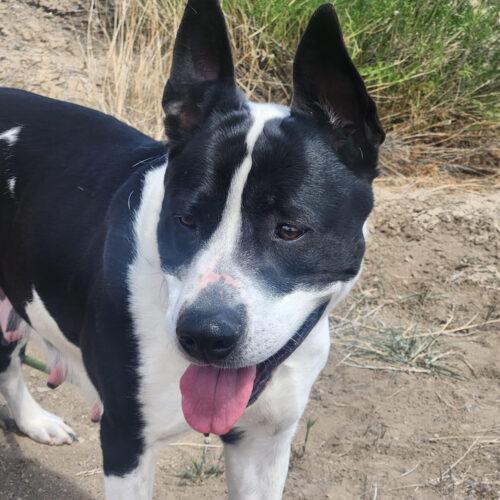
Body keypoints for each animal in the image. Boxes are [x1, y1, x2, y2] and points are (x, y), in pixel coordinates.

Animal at [0, 1, 384, 498]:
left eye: (290, 230)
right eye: (185, 220)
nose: (205, 335)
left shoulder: (264, 444)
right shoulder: (127, 444)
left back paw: (33, 421)